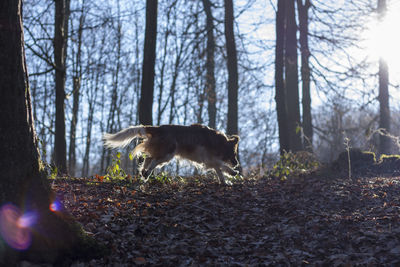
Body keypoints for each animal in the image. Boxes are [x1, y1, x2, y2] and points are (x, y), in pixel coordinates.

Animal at [104, 124, 241, 184]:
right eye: (234, 153)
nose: (237, 164)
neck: (218, 142)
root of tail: (159, 128)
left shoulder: (209, 160)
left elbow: (219, 169)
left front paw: (225, 180)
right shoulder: (208, 158)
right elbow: (221, 165)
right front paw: (232, 172)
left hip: (164, 153)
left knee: (148, 159)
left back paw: (144, 173)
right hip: (168, 153)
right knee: (153, 161)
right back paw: (147, 173)